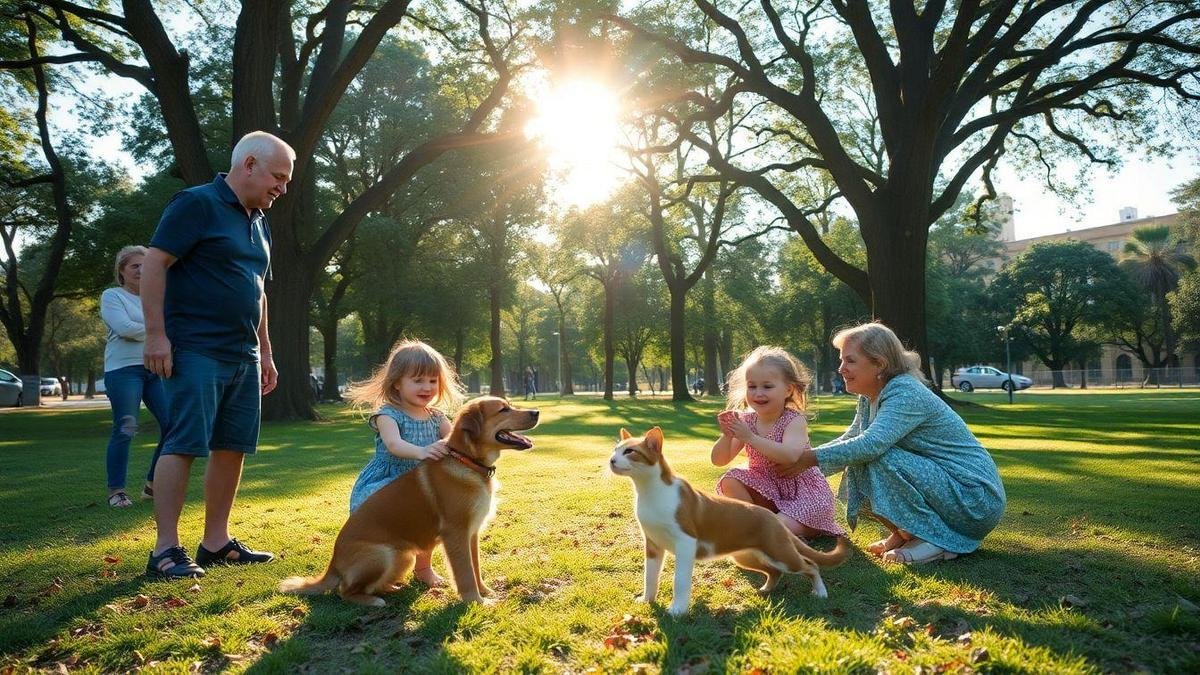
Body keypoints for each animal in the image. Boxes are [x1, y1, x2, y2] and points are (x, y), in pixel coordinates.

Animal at [278, 393, 537, 605]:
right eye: (503, 409)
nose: (536, 412)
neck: (467, 462)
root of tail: (332, 562)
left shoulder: (471, 533)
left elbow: (476, 568)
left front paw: (485, 592)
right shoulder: (456, 534)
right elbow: (465, 574)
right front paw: (475, 601)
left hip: (403, 556)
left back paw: (391, 588)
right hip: (382, 555)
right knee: (345, 591)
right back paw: (372, 601)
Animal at [609, 427, 854, 612]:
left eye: (630, 451)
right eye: (615, 450)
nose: (611, 460)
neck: (650, 490)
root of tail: (773, 518)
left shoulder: (686, 544)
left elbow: (680, 581)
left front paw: (677, 611)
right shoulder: (653, 545)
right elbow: (649, 576)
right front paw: (647, 600)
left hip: (780, 553)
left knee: (810, 565)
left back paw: (820, 592)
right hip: (745, 557)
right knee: (774, 571)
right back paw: (766, 590)